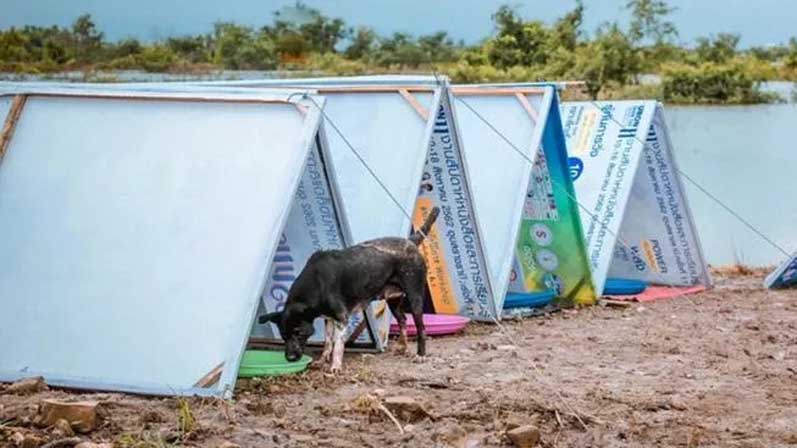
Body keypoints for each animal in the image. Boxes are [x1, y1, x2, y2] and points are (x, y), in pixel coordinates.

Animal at [260, 206, 436, 372]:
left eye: (299, 332)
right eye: (283, 335)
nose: (290, 358)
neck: (316, 283)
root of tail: (411, 241)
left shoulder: (341, 318)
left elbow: (338, 345)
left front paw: (335, 367)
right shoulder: (328, 319)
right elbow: (328, 343)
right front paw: (322, 361)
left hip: (415, 298)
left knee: (421, 329)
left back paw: (420, 355)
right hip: (393, 300)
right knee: (403, 320)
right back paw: (403, 347)